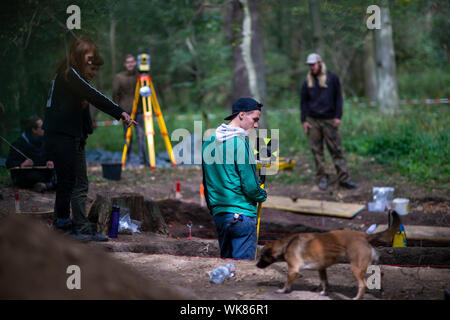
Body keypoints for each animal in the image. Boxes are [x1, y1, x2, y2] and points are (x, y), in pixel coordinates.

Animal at [256, 211, 400, 298]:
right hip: (370, 264)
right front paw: (324, 292)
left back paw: (357, 298)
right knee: (381, 274)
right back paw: (381, 292)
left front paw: (282, 290)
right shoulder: (321, 269)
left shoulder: (293, 269)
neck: (286, 244)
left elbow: (287, 282)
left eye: (262, 256)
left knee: (363, 285)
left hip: (356, 268)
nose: (256, 265)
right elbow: (325, 282)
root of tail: (364, 235)